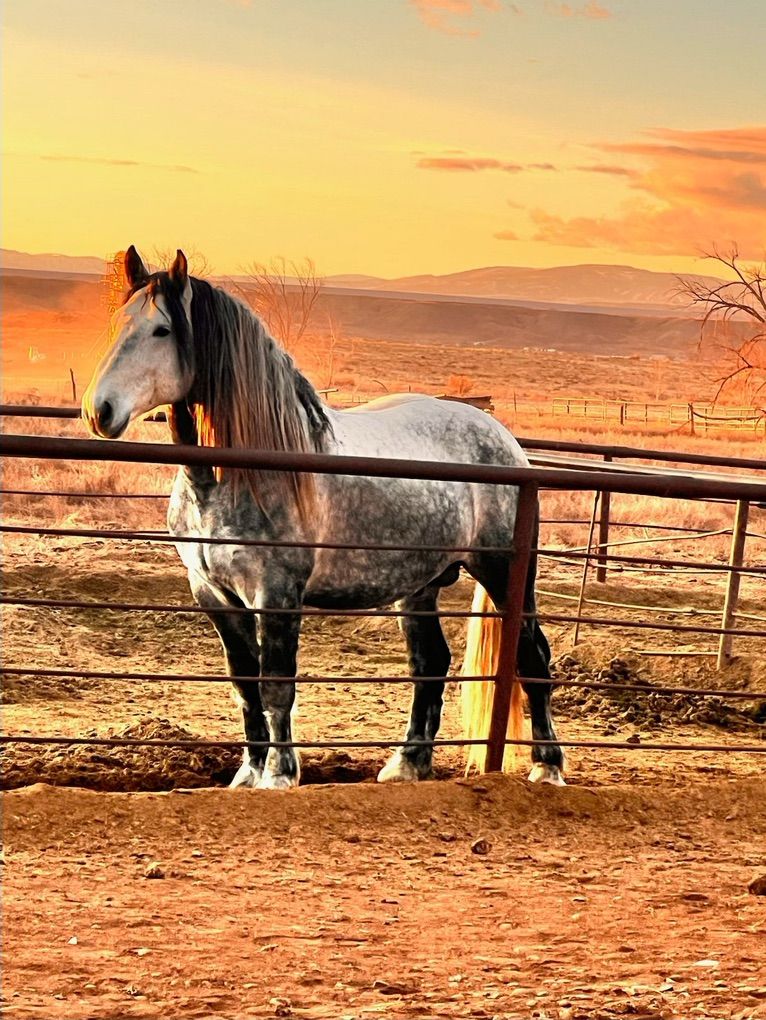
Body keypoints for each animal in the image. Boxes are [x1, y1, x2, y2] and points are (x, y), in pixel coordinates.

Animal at [82, 247, 564, 789]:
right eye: (118, 323)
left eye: (162, 330)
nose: (99, 411)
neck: (237, 475)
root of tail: (505, 441)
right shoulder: (213, 594)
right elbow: (244, 685)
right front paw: (247, 774)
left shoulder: (276, 593)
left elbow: (275, 686)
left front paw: (279, 775)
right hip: (419, 585)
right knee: (430, 663)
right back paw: (407, 764)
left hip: (503, 572)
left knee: (532, 656)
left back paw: (547, 767)